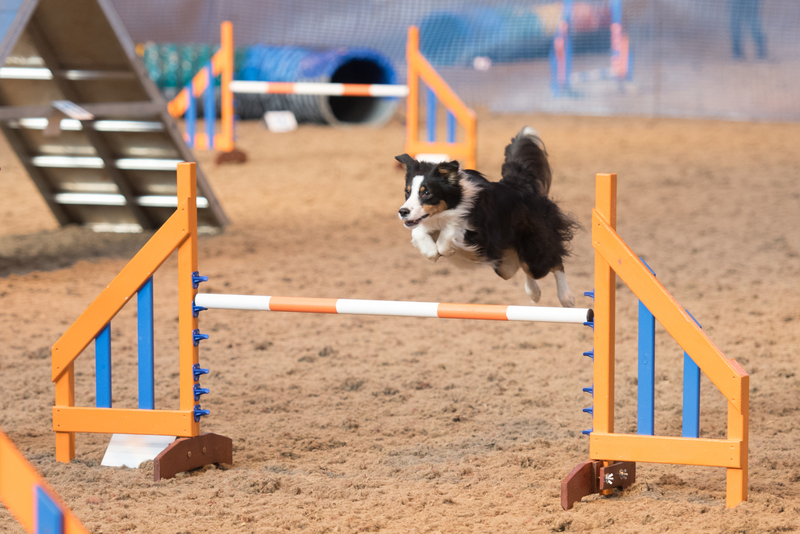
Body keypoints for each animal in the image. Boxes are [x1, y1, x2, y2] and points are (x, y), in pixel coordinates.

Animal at [396, 127, 580, 308]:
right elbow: (419, 232)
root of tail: (521, 185)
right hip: (504, 265)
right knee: (523, 267)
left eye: (426, 192)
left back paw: (566, 297)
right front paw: (430, 251)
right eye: (407, 191)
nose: (402, 212)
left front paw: (443, 249)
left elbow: (450, 232)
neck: (452, 204)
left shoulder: (481, 233)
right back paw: (534, 293)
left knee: (552, 261)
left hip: (532, 248)